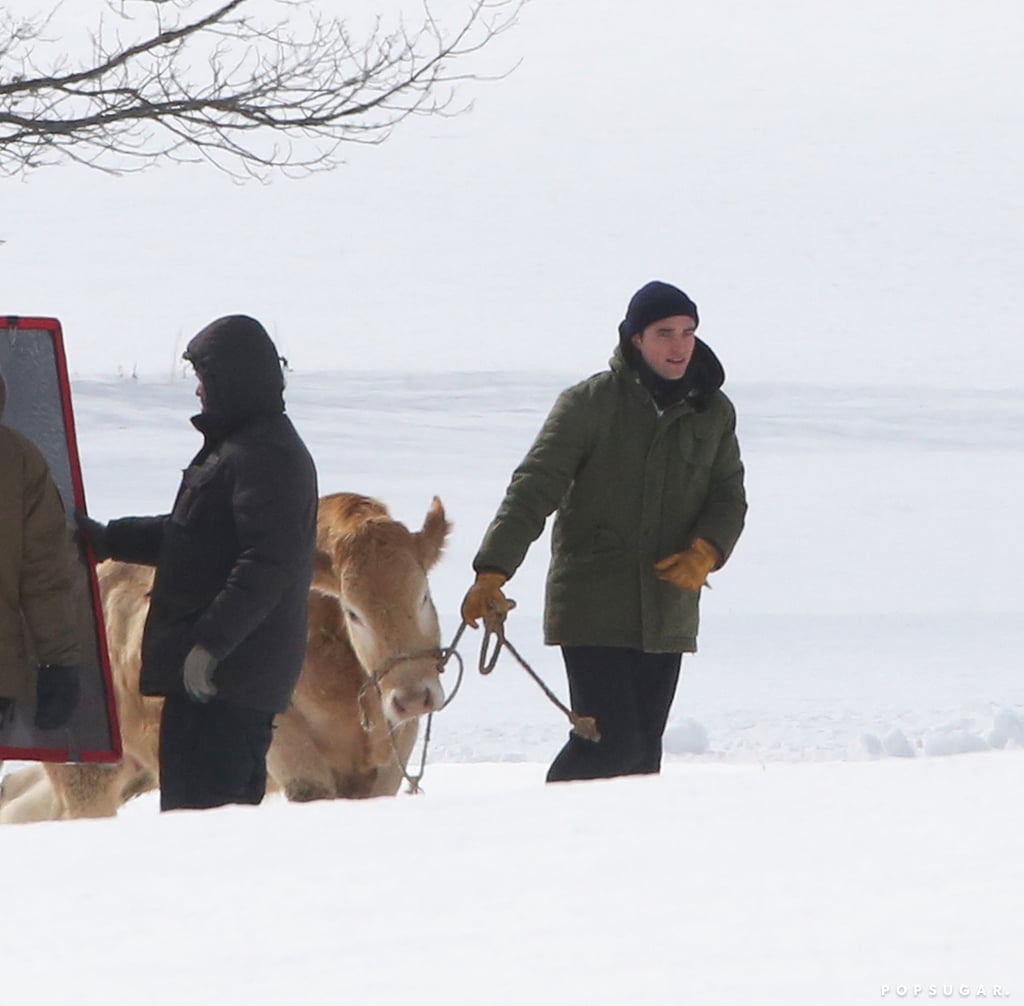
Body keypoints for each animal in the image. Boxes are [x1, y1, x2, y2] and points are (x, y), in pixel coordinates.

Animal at [0, 491, 448, 823]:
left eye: (424, 595)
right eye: (353, 612)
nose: (413, 697)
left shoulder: (389, 762)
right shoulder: (294, 758)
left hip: (129, 766)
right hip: (89, 771)